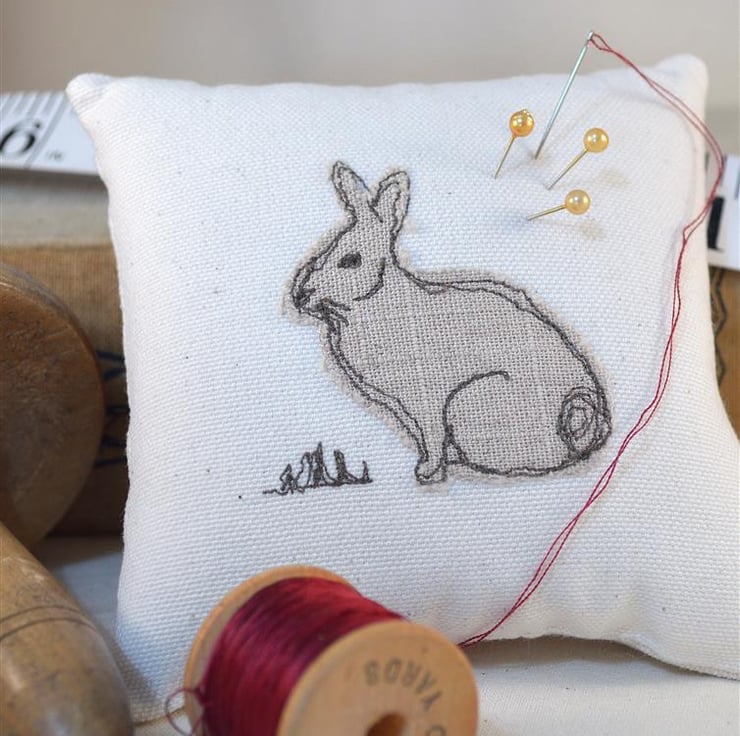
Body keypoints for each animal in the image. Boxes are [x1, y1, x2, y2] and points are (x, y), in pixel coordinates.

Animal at [290, 162, 611, 485]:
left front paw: (427, 472)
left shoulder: (427, 401)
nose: (299, 296)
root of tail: (582, 420)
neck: (378, 301)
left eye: (351, 260)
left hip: (470, 403)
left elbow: (431, 437)